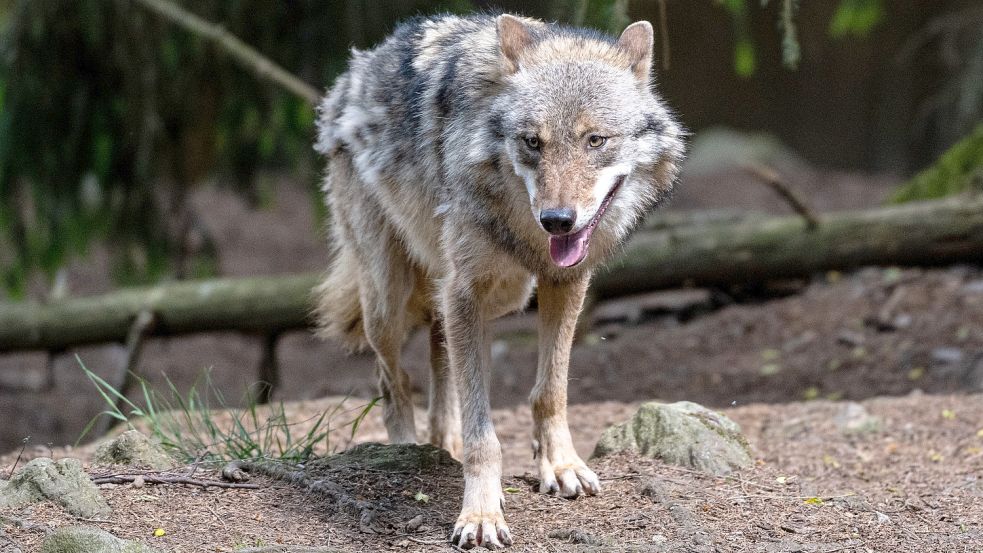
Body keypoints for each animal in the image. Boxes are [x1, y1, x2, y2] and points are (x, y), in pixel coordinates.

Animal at [316, 12, 684, 548]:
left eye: (595, 140)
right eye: (533, 142)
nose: (558, 221)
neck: (524, 235)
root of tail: (349, 76)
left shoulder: (563, 283)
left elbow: (550, 392)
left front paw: (561, 466)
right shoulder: (465, 292)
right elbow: (483, 433)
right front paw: (481, 514)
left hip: (490, 298)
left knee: (439, 362)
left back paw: (440, 447)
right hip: (389, 301)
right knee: (393, 380)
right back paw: (407, 450)